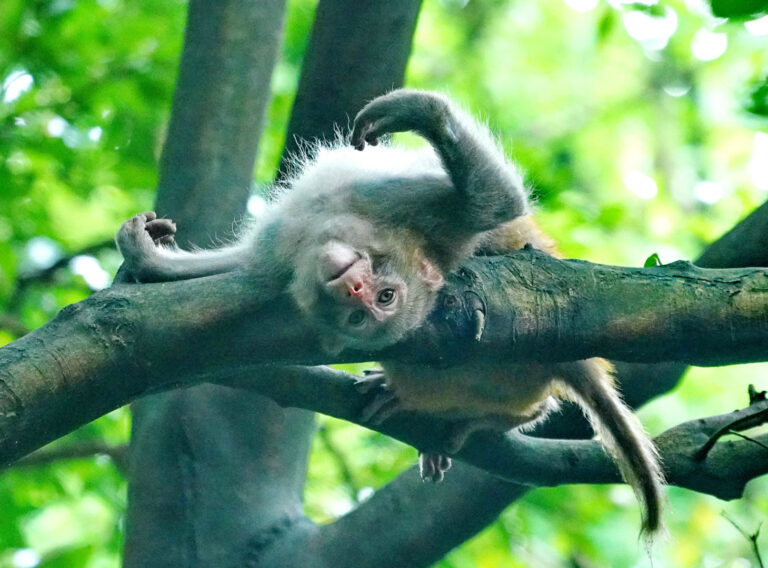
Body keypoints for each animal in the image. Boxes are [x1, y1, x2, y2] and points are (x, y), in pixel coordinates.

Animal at [116, 89, 663, 536]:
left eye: (384, 298)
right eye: (360, 314)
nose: (355, 288)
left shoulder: (411, 211)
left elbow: (493, 205)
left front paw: (417, 111)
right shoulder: (295, 256)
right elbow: (237, 271)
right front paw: (148, 258)